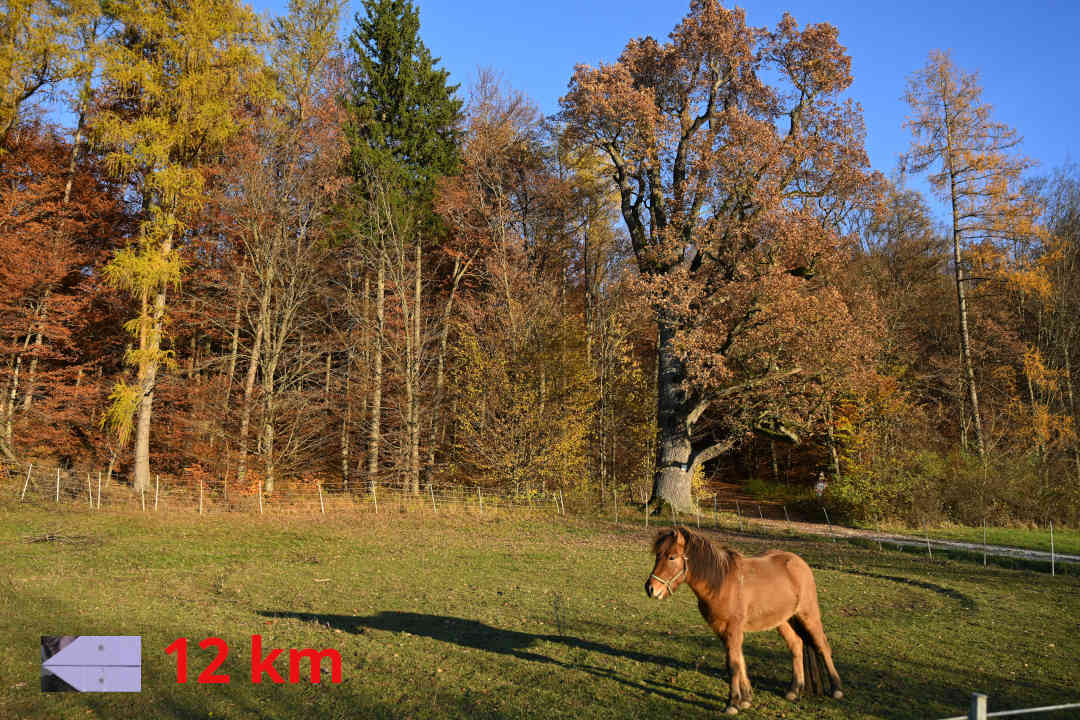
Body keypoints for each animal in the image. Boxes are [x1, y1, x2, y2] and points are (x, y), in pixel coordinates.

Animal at [639, 526, 842, 716]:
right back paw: (794, 689)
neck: (721, 584)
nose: (650, 589)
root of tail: (799, 562)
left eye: (672, 557)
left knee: (823, 646)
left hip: (808, 614)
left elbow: (733, 664)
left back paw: (836, 689)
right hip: (783, 620)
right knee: (796, 645)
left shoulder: (732, 630)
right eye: (658, 555)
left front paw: (732, 703)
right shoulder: (723, 631)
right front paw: (745, 699)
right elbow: (739, 661)